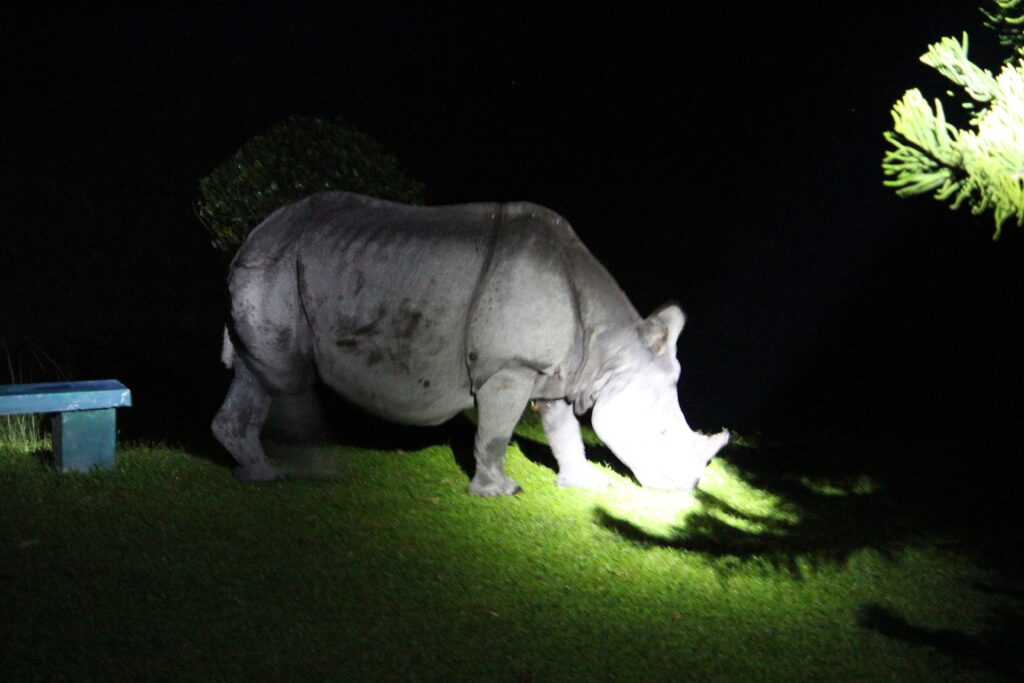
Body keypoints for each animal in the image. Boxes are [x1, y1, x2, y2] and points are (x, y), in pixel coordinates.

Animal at [214, 189, 729, 493]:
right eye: (661, 432)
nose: (687, 489)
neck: (611, 350)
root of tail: (251, 235)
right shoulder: (510, 367)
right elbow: (496, 432)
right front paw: (501, 491)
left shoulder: (557, 373)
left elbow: (564, 432)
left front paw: (582, 484)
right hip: (278, 267)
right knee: (286, 374)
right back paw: (311, 469)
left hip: (284, 262)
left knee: (256, 373)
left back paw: (257, 473)